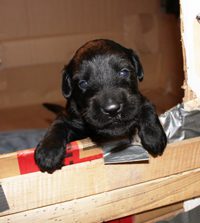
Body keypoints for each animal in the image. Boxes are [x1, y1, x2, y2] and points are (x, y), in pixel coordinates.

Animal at [34, 39, 167, 173]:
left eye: (124, 72)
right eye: (83, 83)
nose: (112, 110)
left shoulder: (138, 99)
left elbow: (147, 106)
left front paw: (153, 135)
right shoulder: (69, 116)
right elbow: (57, 125)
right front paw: (48, 152)